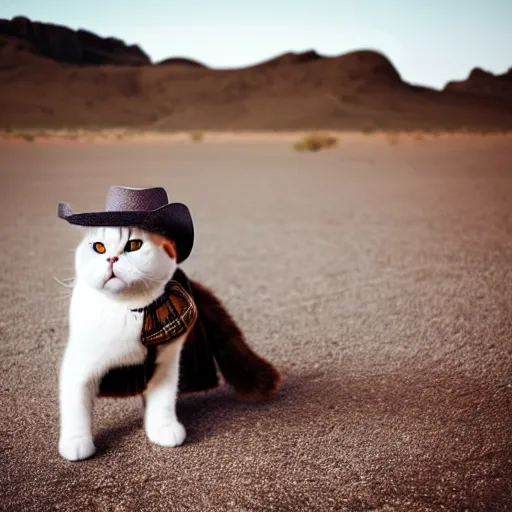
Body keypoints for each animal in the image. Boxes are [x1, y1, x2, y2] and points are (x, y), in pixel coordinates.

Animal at [59, 226, 280, 462]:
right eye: (99, 247)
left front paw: (163, 429)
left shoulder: (165, 364)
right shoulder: (79, 366)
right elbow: (75, 406)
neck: (130, 309)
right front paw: (76, 443)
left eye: (134, 245)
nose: (112, 258)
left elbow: (162, 401)